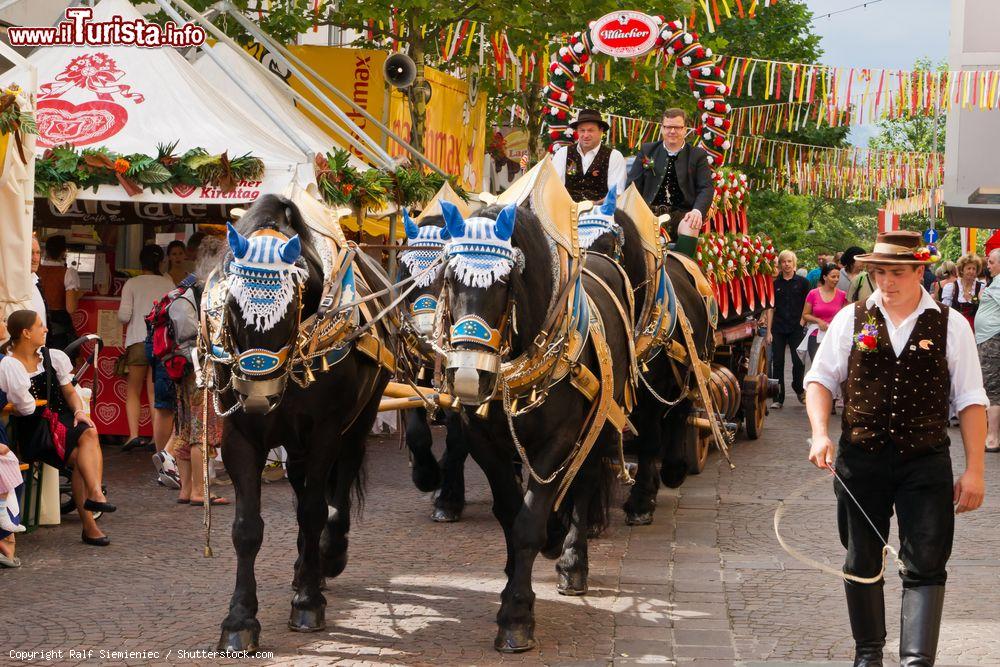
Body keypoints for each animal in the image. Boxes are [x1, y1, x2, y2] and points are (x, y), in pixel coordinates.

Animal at [213, 193, 392, 652]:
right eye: (231, 306)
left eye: (293, 305)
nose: (258, 397)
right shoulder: (240, 436)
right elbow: (246, 528)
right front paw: (240, 619)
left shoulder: (326, 430)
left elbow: (314, 510)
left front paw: (309, 602)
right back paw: (302, 567)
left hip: (359, 421)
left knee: (339, 486)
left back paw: (328, 555)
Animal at [440, 201, 628, 648]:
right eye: (450, 277)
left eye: (505, 281)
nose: (469, 377)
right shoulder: (484, 443)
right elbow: (510, 514)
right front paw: (512, 580)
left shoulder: (556, 442)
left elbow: (528, 522)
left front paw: (516, 616)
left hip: (600, 425)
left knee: (586, 480)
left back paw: (573, 561)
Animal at [584, 190, 716, 524]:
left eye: (609, 247)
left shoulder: (653, 391)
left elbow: (649, 438)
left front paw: (642, 500)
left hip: (689, 371)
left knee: (680, 415)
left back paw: (673, 469)